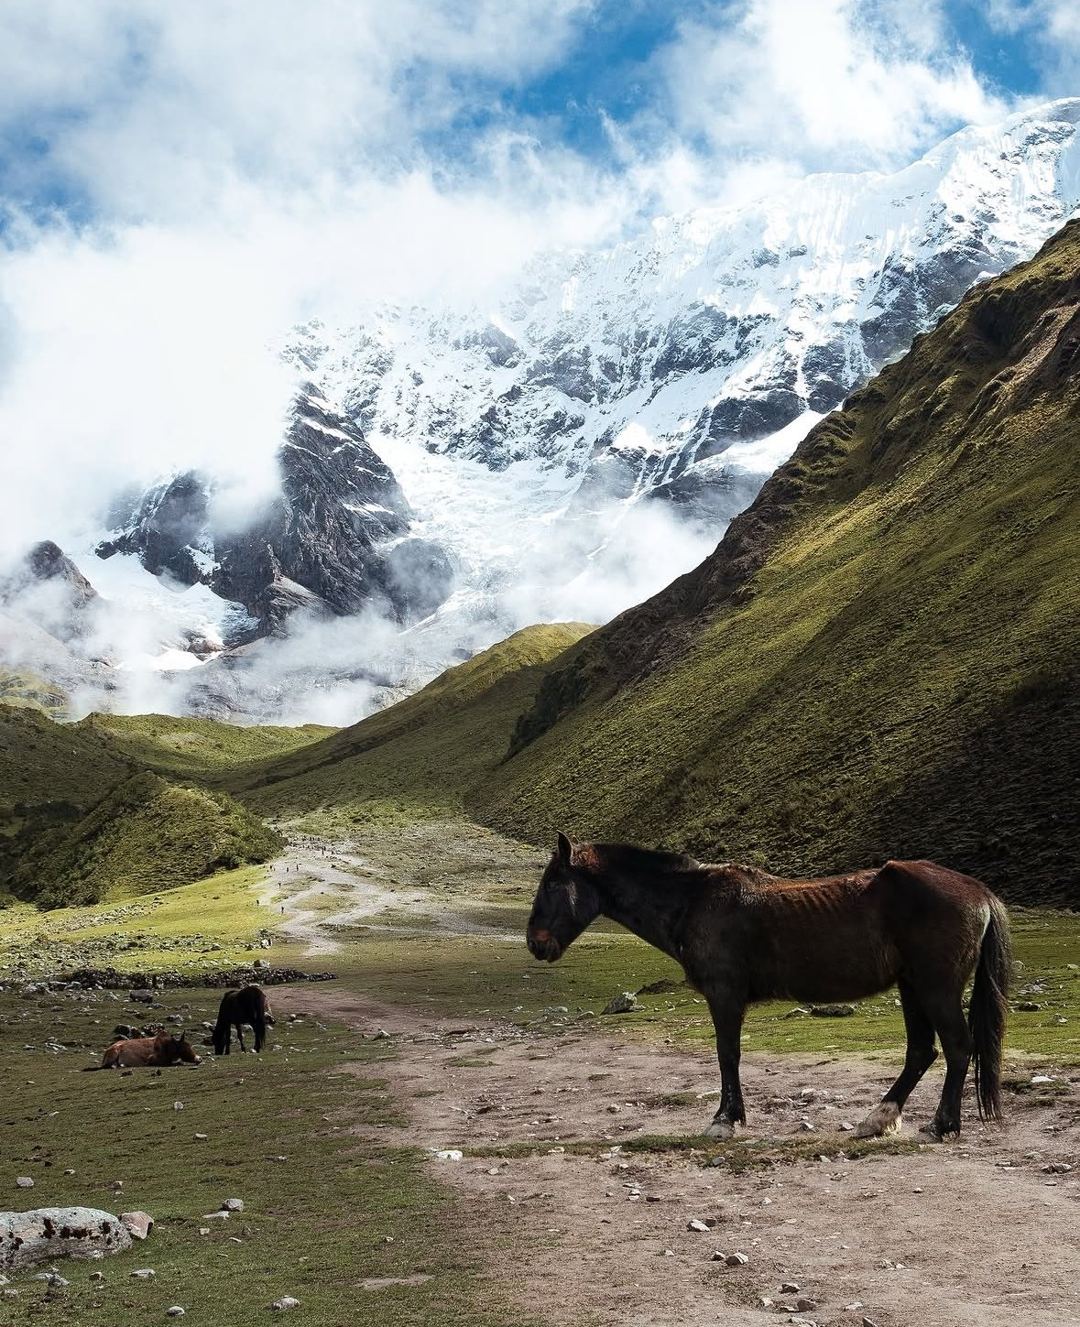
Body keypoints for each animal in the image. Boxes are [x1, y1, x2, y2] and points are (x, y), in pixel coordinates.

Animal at [526, 834, 1011, 1141]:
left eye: (553, 883)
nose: (535, 942)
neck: (693, 901)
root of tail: (981, 893)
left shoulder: (724, 995)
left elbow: (727, 1054)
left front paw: (724, 1120)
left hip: (935, 988)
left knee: (957, 1047)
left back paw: (943, 1125)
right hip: (911, 987)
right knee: (922, 1052)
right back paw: (878, 1119)